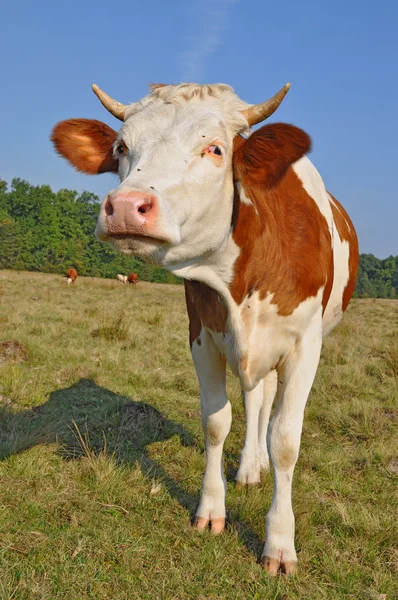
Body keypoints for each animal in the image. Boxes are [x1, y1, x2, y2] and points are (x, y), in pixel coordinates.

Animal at [51, 81, 360, 576]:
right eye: (121, 148)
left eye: (215, 149)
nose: (125, 207)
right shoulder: (202, 337)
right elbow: (217, 423)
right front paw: (212, 509)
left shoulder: (305, 346)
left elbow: (285, 441)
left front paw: (280, 543)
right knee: (256, 401)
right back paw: (249, 467)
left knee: (267, 407)